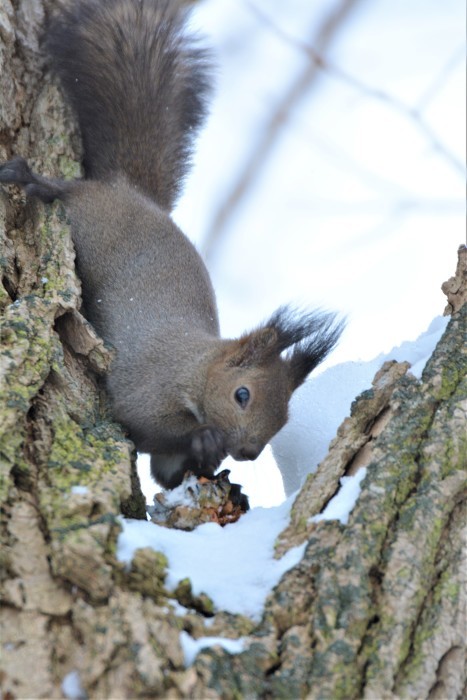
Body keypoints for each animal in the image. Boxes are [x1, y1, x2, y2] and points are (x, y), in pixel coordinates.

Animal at [0, 0, 344, 492]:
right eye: (242, 394)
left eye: (283, 418)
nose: (248, 452)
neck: (195, 369)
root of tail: (130, 191)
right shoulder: (147, 389)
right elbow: (137, 420)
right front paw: (205, 440)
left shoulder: (167, 452)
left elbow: (168, 473)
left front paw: (208, 460)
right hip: (87, 215)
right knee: (69, 192)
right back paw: (31, 179)